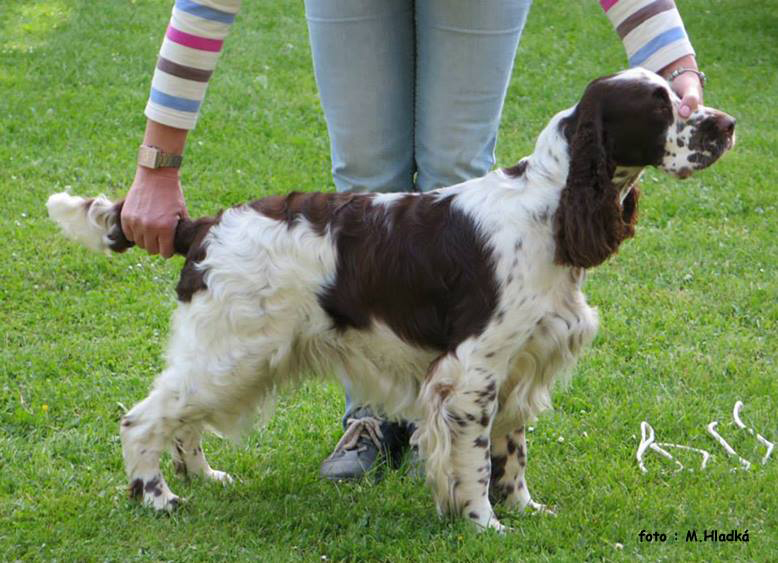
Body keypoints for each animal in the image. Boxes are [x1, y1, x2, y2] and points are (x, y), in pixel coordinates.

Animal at [45, 68, 732, 532]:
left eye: (680, 96)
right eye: (658, 106)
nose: (726, 125)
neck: (550, 206)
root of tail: (205, 224)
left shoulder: (519, 363)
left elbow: (512, 453)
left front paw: (526, 509)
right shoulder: (471, 371)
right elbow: (474, 462)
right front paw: (484, 524)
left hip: (235, 356)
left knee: (181, 418)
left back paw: (202, 475)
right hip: (232, 350)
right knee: (144, 418)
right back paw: (159, 496)